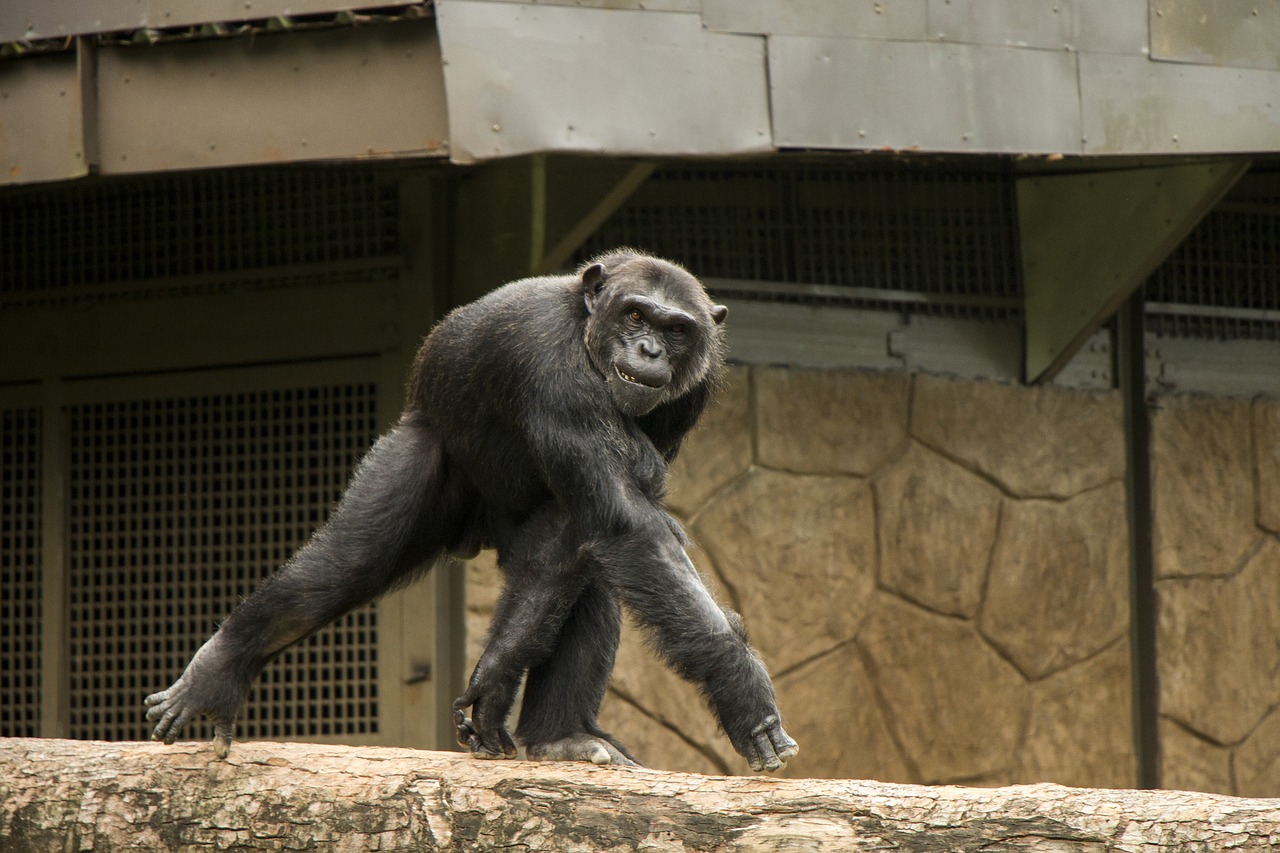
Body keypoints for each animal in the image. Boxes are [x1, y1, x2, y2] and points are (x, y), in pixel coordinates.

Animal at [145, 247, 793, 768]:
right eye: (635, 314)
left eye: (677, 328)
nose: (651, 348)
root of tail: (478, 529)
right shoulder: (553, 369)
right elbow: (627, 523)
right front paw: (741, 686)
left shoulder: (690, 398)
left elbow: (596, 527)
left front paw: (492, 685)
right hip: (419, 454)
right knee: (343, 567)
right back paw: (217, 670)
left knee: (583, 573)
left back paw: (562, 737)